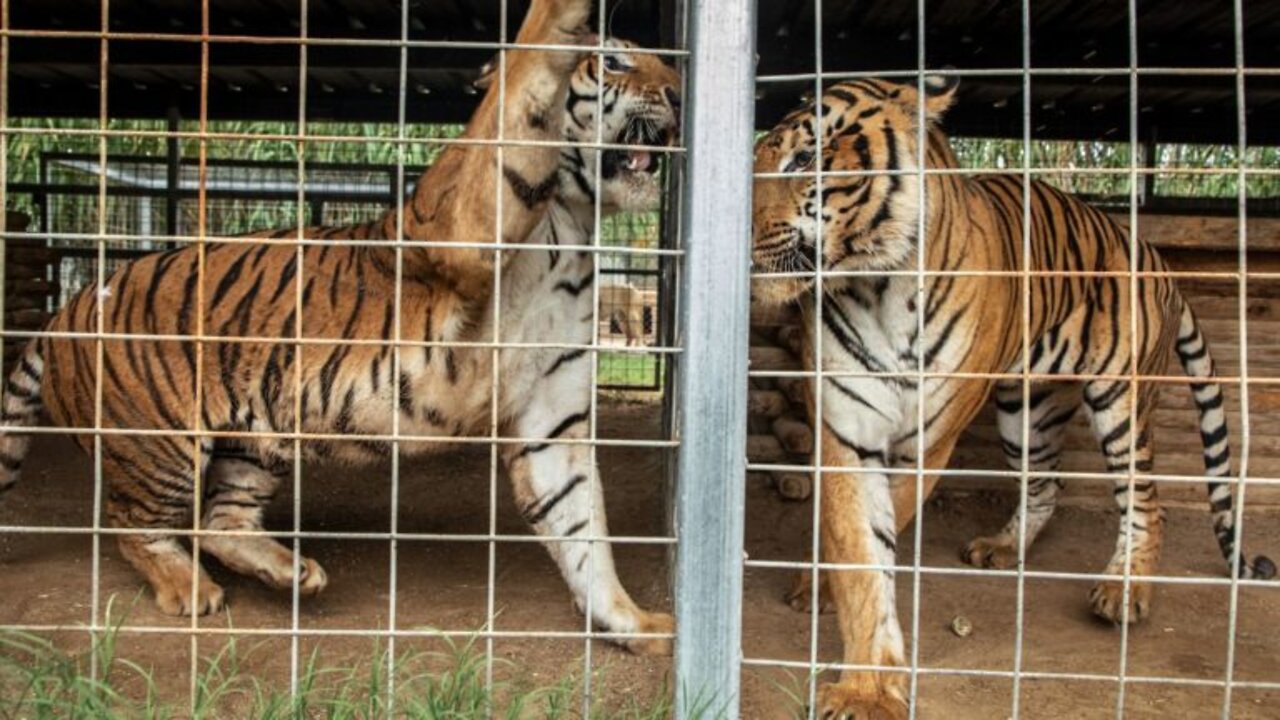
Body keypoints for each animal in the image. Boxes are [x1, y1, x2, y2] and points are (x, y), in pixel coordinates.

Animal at [0, 0, 680, 653]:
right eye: (614, 62)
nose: (677, 93)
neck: (573, 220)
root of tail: (66, 310)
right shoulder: (464, 224)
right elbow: (526, 77)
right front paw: (557, 15)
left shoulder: (551, 410)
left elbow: (581, 525)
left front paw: (631, 623)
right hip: (157, 443)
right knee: (132, 525)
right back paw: (190, 589)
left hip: (254, 440)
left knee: (218, 521)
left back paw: (288, 570)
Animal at [747, 75, 1269, 712]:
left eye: (804, 159)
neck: (879, 288)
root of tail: (1155, 257)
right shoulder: (846, 430)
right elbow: (860, 553)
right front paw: (866, 680)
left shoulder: (929, 442)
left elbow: (886, 525)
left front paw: (864, 686)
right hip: (1029, 412)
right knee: (1046, 485)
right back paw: (1002, 549)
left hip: (1120, 403)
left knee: (1147, 500)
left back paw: (1125, 592)